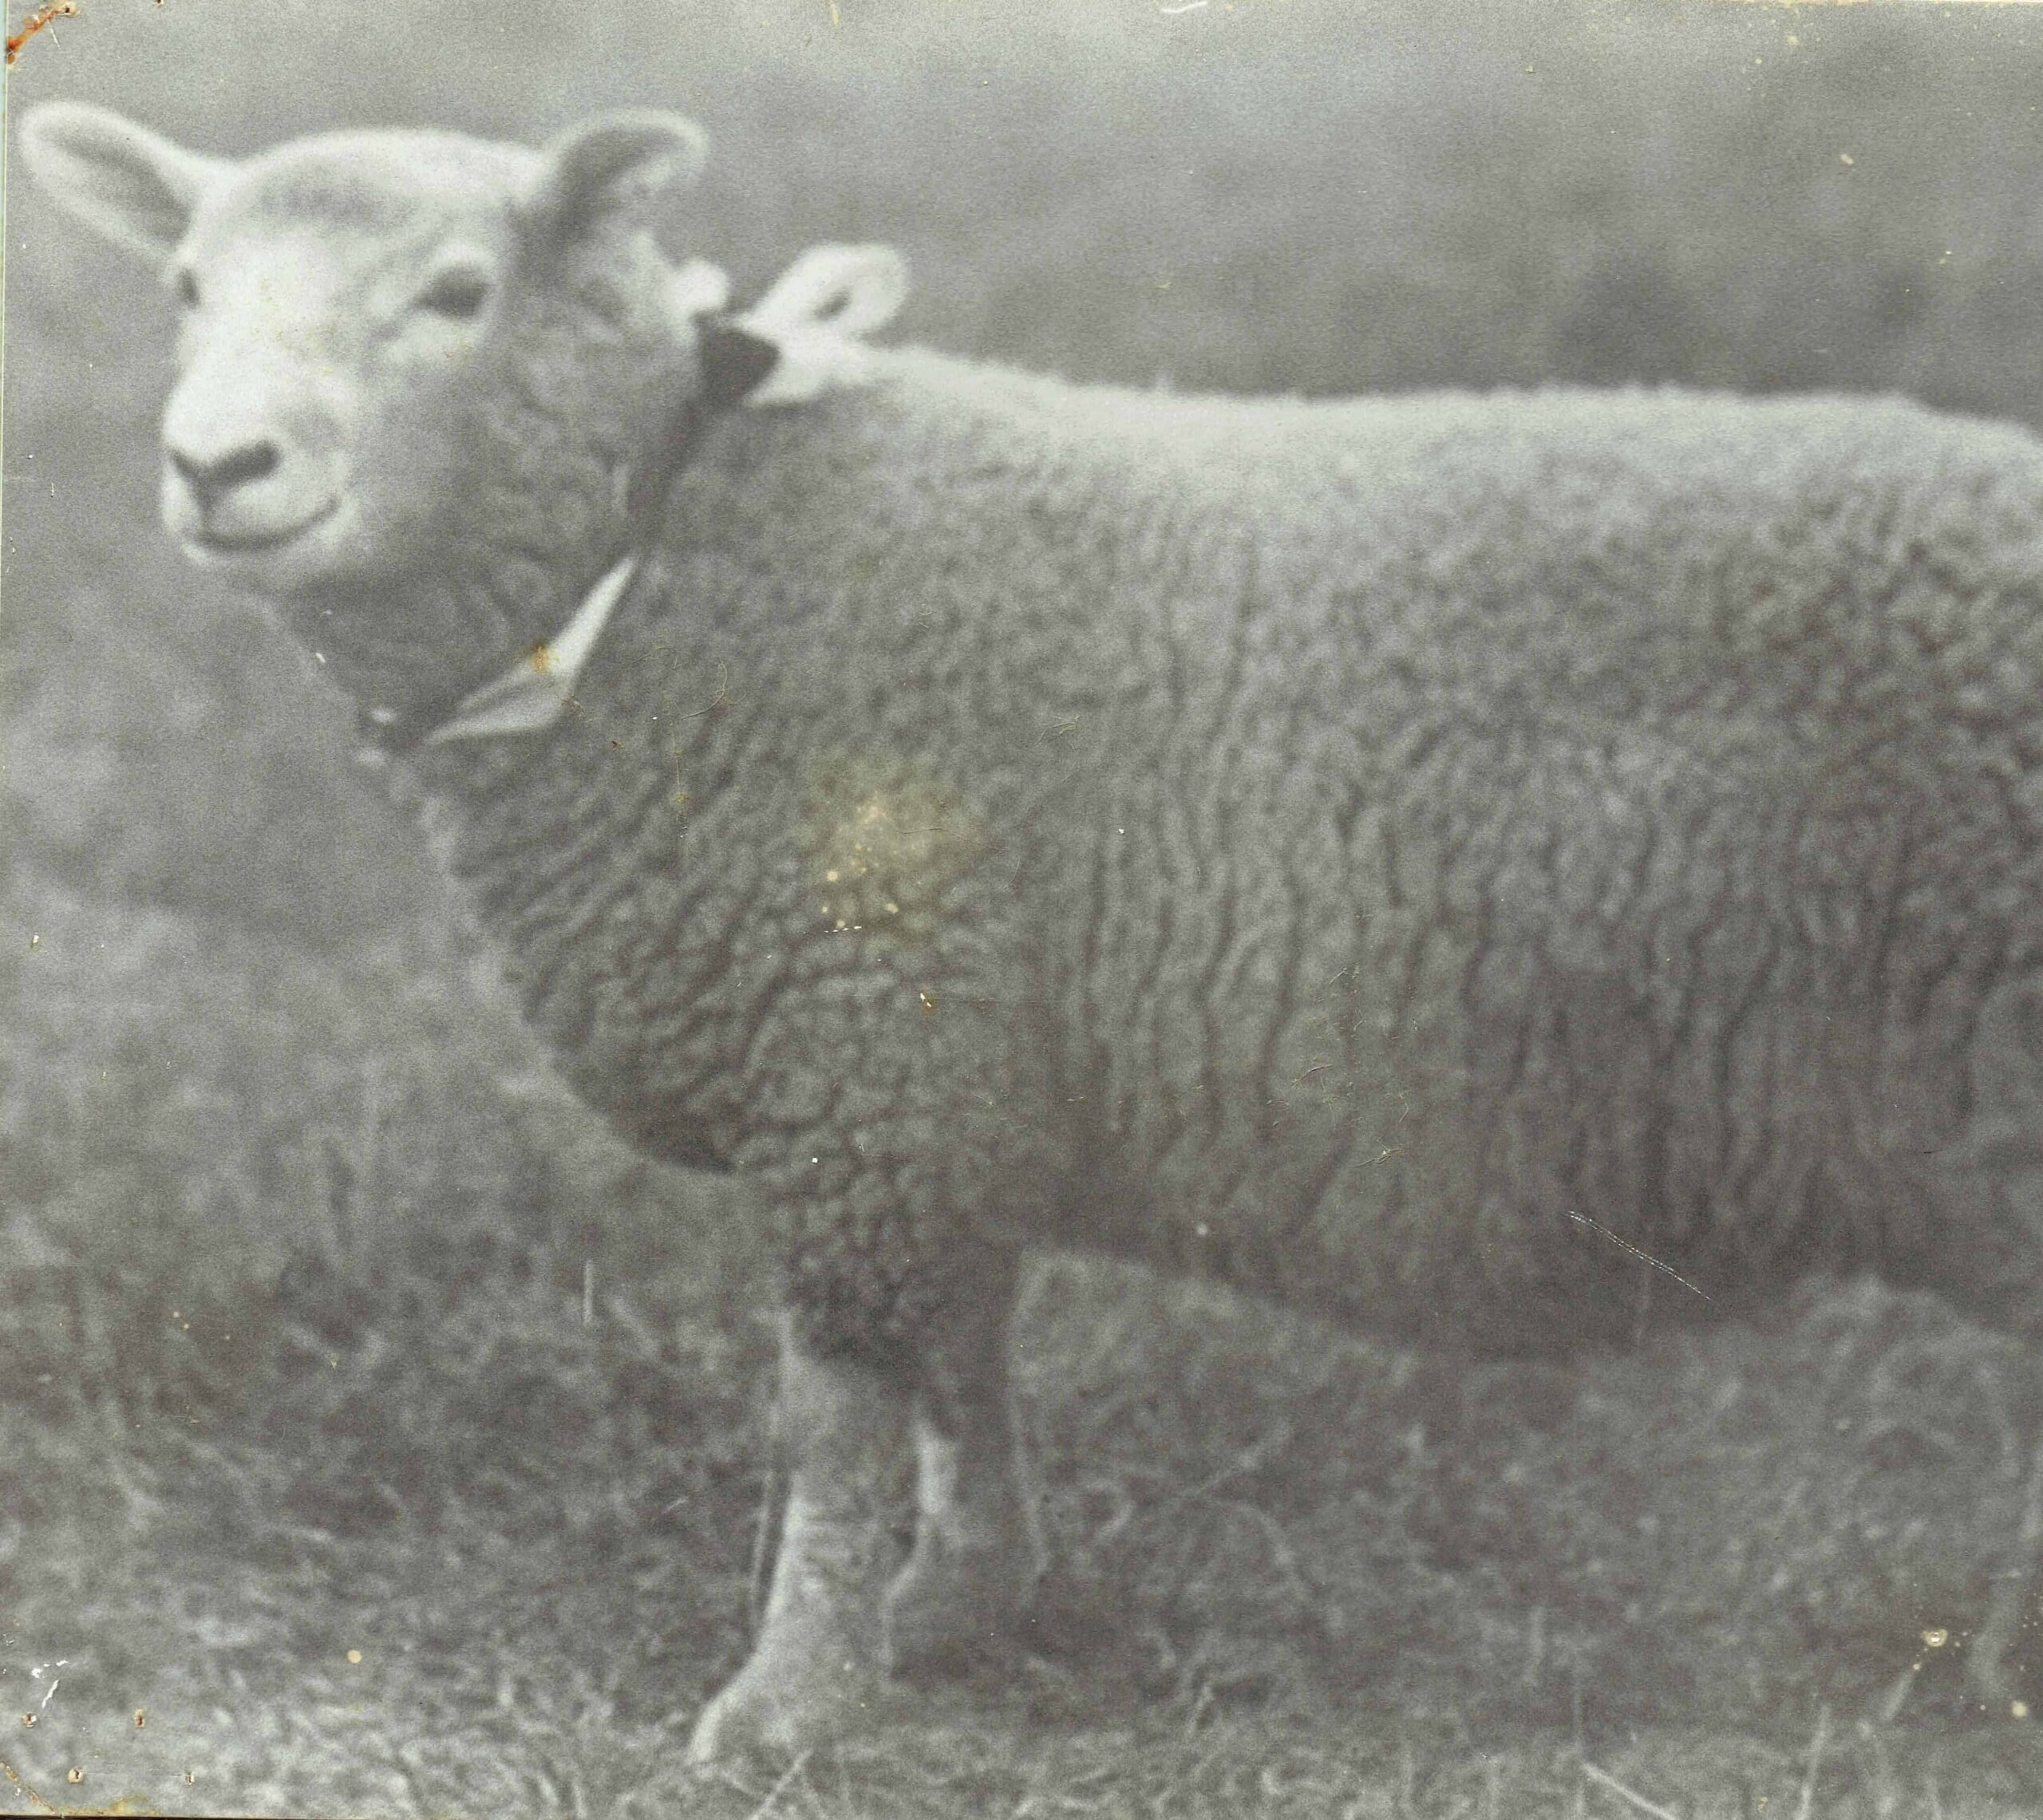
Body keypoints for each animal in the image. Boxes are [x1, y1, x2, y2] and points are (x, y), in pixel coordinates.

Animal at [22, 100, 2043, 1763]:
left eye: (457, 291)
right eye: (185, 286)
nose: (218, 466)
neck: (665, 551)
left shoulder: (856, 1050)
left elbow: (836, 1413)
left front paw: (786, 1699)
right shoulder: (935, 1069)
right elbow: (960, 1361)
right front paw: (954, 1597)